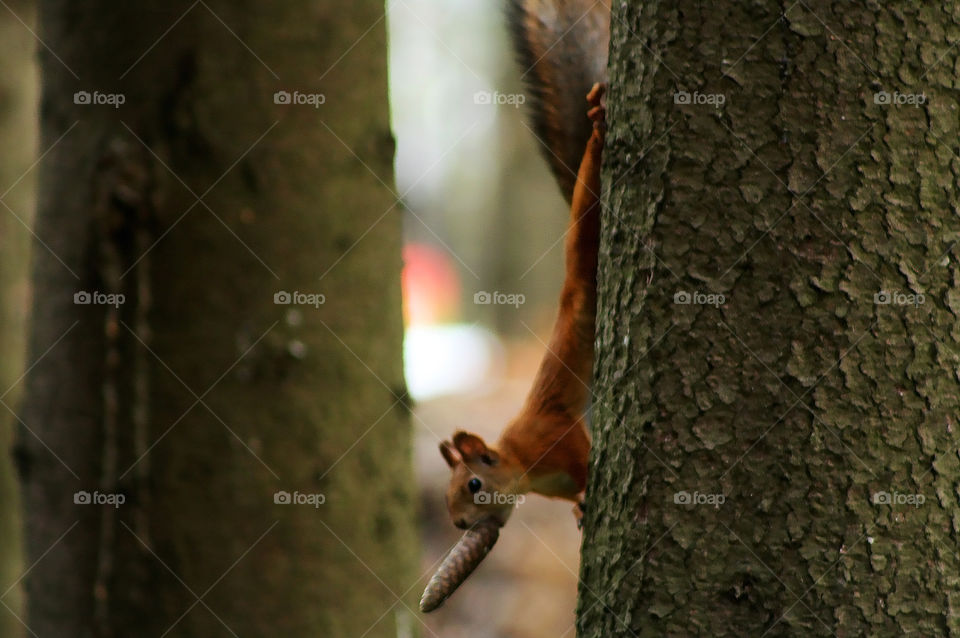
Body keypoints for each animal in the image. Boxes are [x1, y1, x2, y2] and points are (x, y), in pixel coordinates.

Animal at [439, 0, 610, 530]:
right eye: (447, 497)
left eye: (474, 484)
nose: (461, 526)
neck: (525, 469)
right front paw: (579, 508)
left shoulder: (555, 437)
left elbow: (581, 452)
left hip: (583, 236)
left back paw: (598, 124)